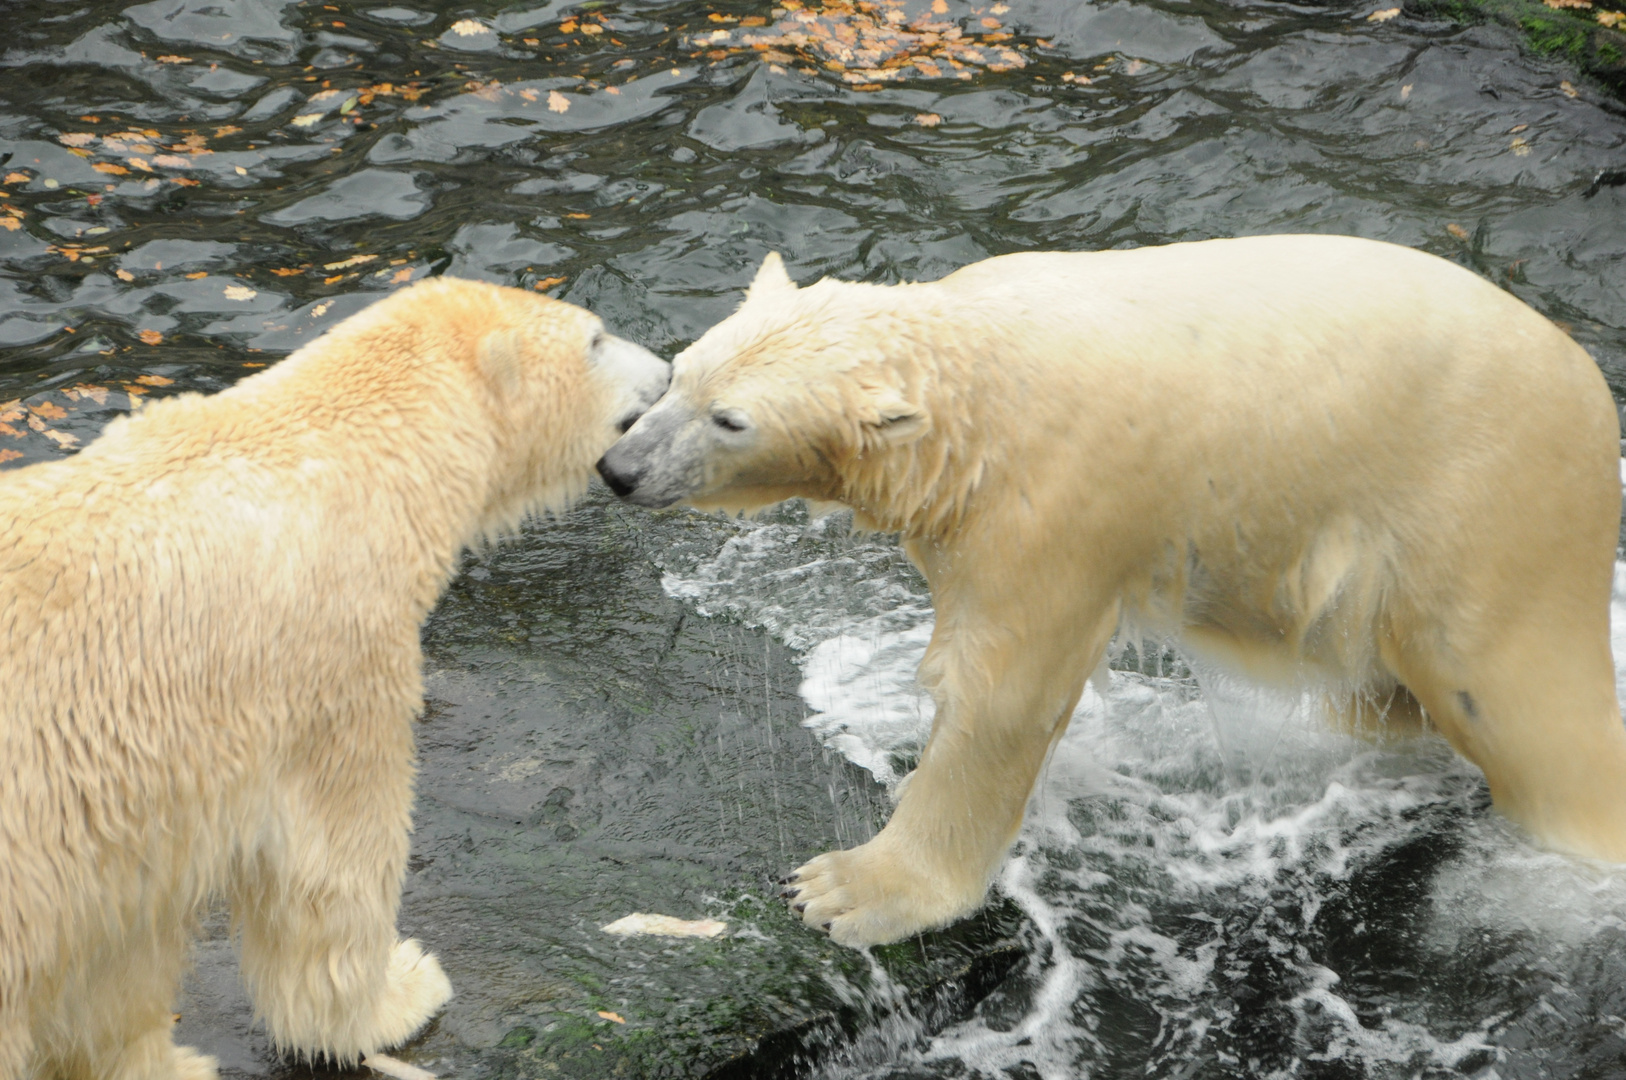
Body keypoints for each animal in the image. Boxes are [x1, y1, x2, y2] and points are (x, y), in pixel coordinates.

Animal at [0, 279, 669, 1080]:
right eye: (596, 339)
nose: (669, 371)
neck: (328, 451)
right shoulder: (330, 664)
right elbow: (332, 874)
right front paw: (400, 993)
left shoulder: (122, 822)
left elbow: (111, 964)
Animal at [604, 234, 1626, 943]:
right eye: (680, 371)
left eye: (731, 420)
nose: (619, 467)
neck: (971, 398)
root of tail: (1590, 389)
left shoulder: (1053, 512)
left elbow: (998, 697)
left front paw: (847, 890)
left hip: (1484, 505)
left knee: (1519, 704)